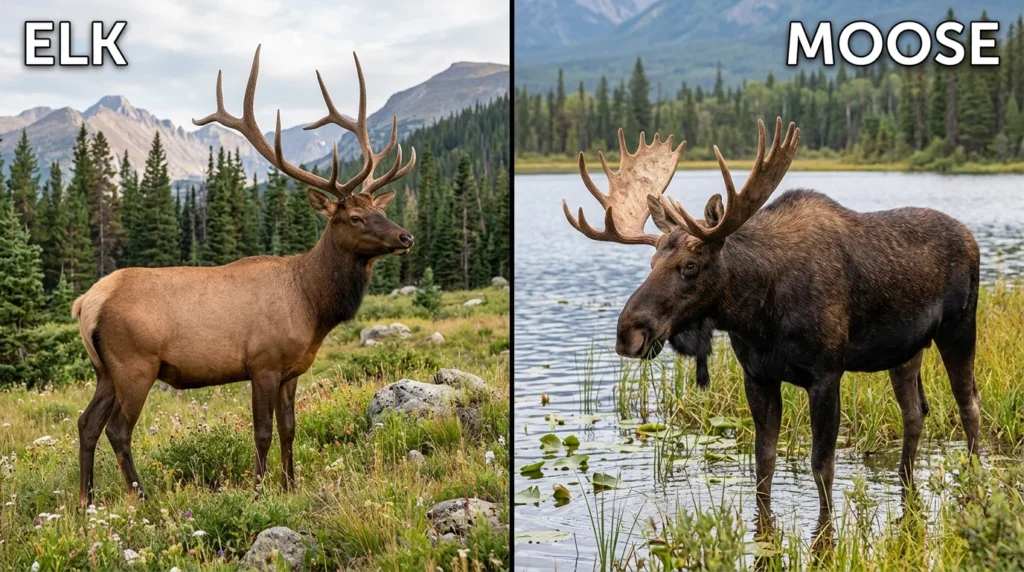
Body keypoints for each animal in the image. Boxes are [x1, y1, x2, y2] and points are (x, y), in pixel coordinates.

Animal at [72, 46, 416, 508]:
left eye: (381, 209)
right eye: (356, 217)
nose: (405, 236)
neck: (312, 305)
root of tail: (86, 303)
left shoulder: (292, 371)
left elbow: (289, 429)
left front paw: (291, 485)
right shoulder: (263, 363)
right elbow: (263, 432)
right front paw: (258, 491)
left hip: (105, 370)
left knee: (86, 423)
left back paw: (86, 502)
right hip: (134, 363)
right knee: (117, 430)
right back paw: (142, 498)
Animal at [563, 118, 981, 536]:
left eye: (690, 266)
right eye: (651, 263)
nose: (628, 333)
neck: (759, 315)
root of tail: (970, 236)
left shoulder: (826, 374)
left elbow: (821, 467)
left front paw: (822, 534)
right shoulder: (758, 375)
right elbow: (764, 463)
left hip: (959, 329)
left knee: (969, 404)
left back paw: (974, 481)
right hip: (907, 351)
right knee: (915, 413)